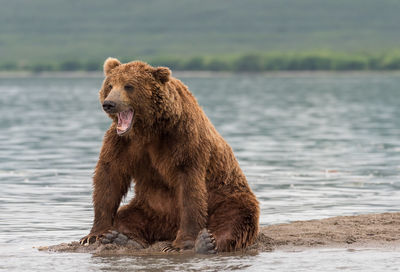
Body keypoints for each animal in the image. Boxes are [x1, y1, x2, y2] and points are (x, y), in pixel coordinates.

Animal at [79, 58, 260, 253]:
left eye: (129, 86)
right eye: (110, 85)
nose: (109, 103)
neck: (149, 130)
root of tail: (168, 230)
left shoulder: (183, 139)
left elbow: (189, 187)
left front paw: (183, 243)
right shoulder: (123, 143)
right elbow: (109, 178)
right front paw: (94, 235)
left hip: (226, 196)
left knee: (234, 218)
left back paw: (206, 242)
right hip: (149, 208)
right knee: (127, 216)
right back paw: (122, 238)